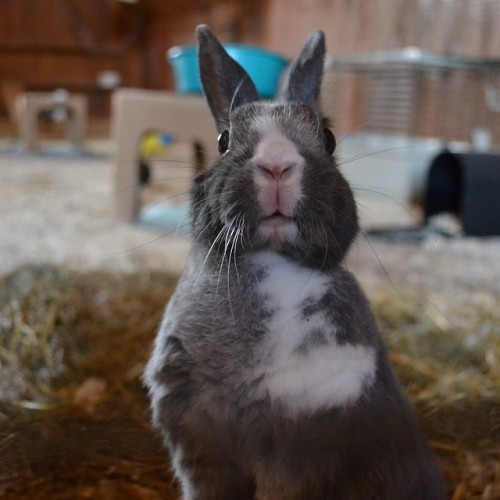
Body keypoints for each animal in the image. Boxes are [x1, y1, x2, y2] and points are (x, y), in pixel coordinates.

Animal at [145, 24, 446, 500]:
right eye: (223, 141)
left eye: (328, 138)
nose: (277, 165)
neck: (272, 262)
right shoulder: (199, 451)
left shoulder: (298, 460)